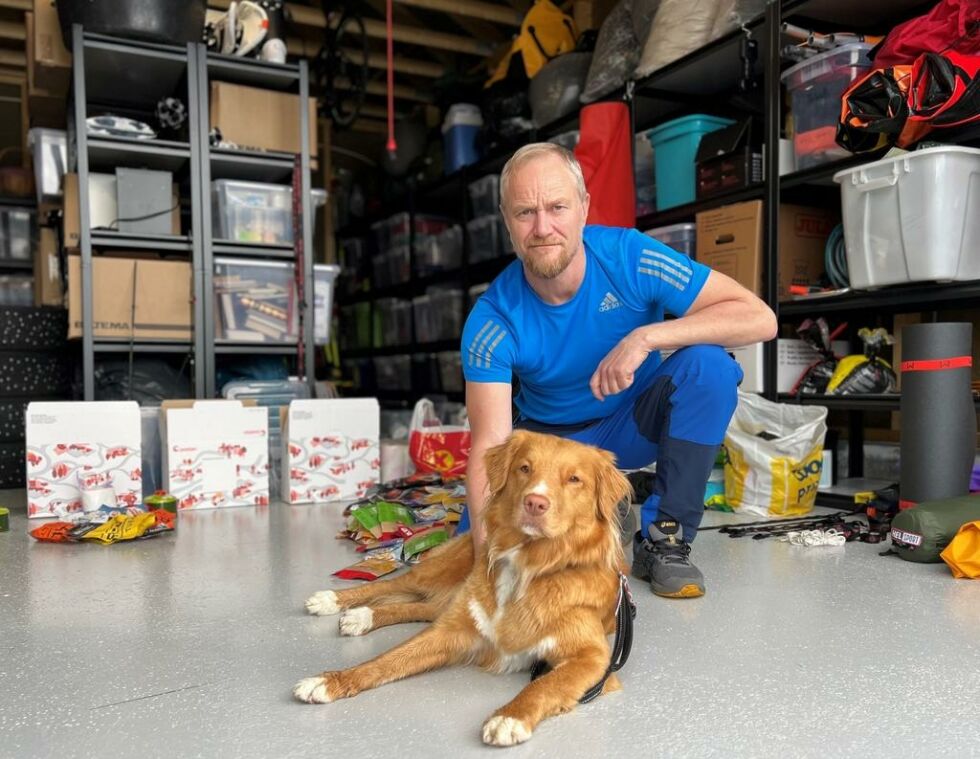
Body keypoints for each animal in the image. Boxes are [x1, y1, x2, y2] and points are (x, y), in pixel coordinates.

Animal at [294, 434, 632, 748]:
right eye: (525, 468)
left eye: (574, 479)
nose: (535, 503)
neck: (529, 564)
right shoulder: (452, 629)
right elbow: (387, 660)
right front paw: (330, 680)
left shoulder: (594, 659)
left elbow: (545, 686)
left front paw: (510, 717)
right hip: (442, 574)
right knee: (395, 585)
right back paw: (334, 601)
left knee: (423, 607)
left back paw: (362, 616)